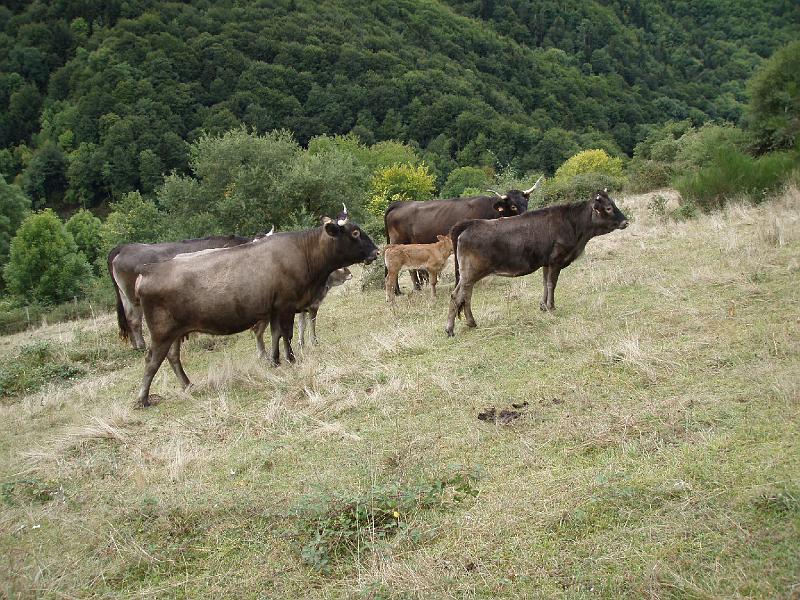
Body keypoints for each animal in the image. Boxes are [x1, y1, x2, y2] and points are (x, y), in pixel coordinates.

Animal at [134, 218, 378, 406]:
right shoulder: (286, 305)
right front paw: (290, 358)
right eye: (355, 233)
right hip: (161, 332)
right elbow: (287, 334)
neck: (303, 252)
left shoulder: (274, 309)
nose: (376, 251)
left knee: (173, 357)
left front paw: (275, 360)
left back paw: (187, 384)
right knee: (152, 360)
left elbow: (276, 334)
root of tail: (149, 270)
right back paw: (142, 399)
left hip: (175, 331)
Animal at [382, 177, 544, 292]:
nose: (526, 217)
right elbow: (459, 266)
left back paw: (415, 288)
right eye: (513, 206)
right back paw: (397, 291)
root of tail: (399, 203)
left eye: (525, 203)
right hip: (398, 242)